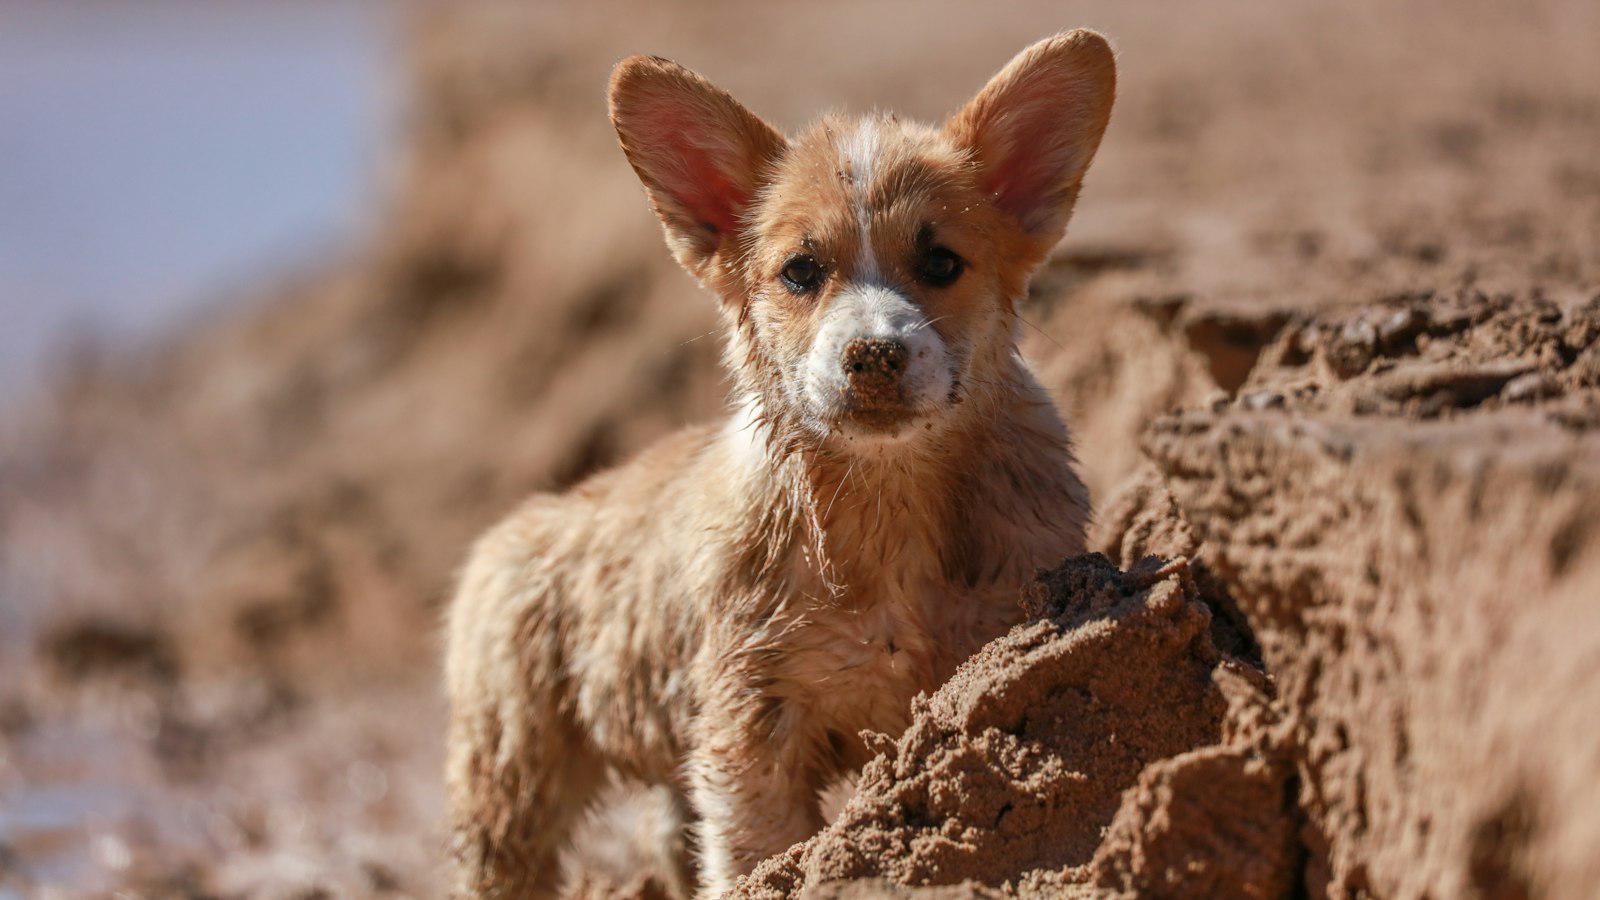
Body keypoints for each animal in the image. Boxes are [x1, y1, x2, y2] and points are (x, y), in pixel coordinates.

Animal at [438, 31, 1113, 890]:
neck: (885, 501)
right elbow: (759, 855)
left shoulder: (997, 647)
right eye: (801, 271)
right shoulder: (749, 723)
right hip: (511, 770)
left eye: (941, 264)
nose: (875, 354)